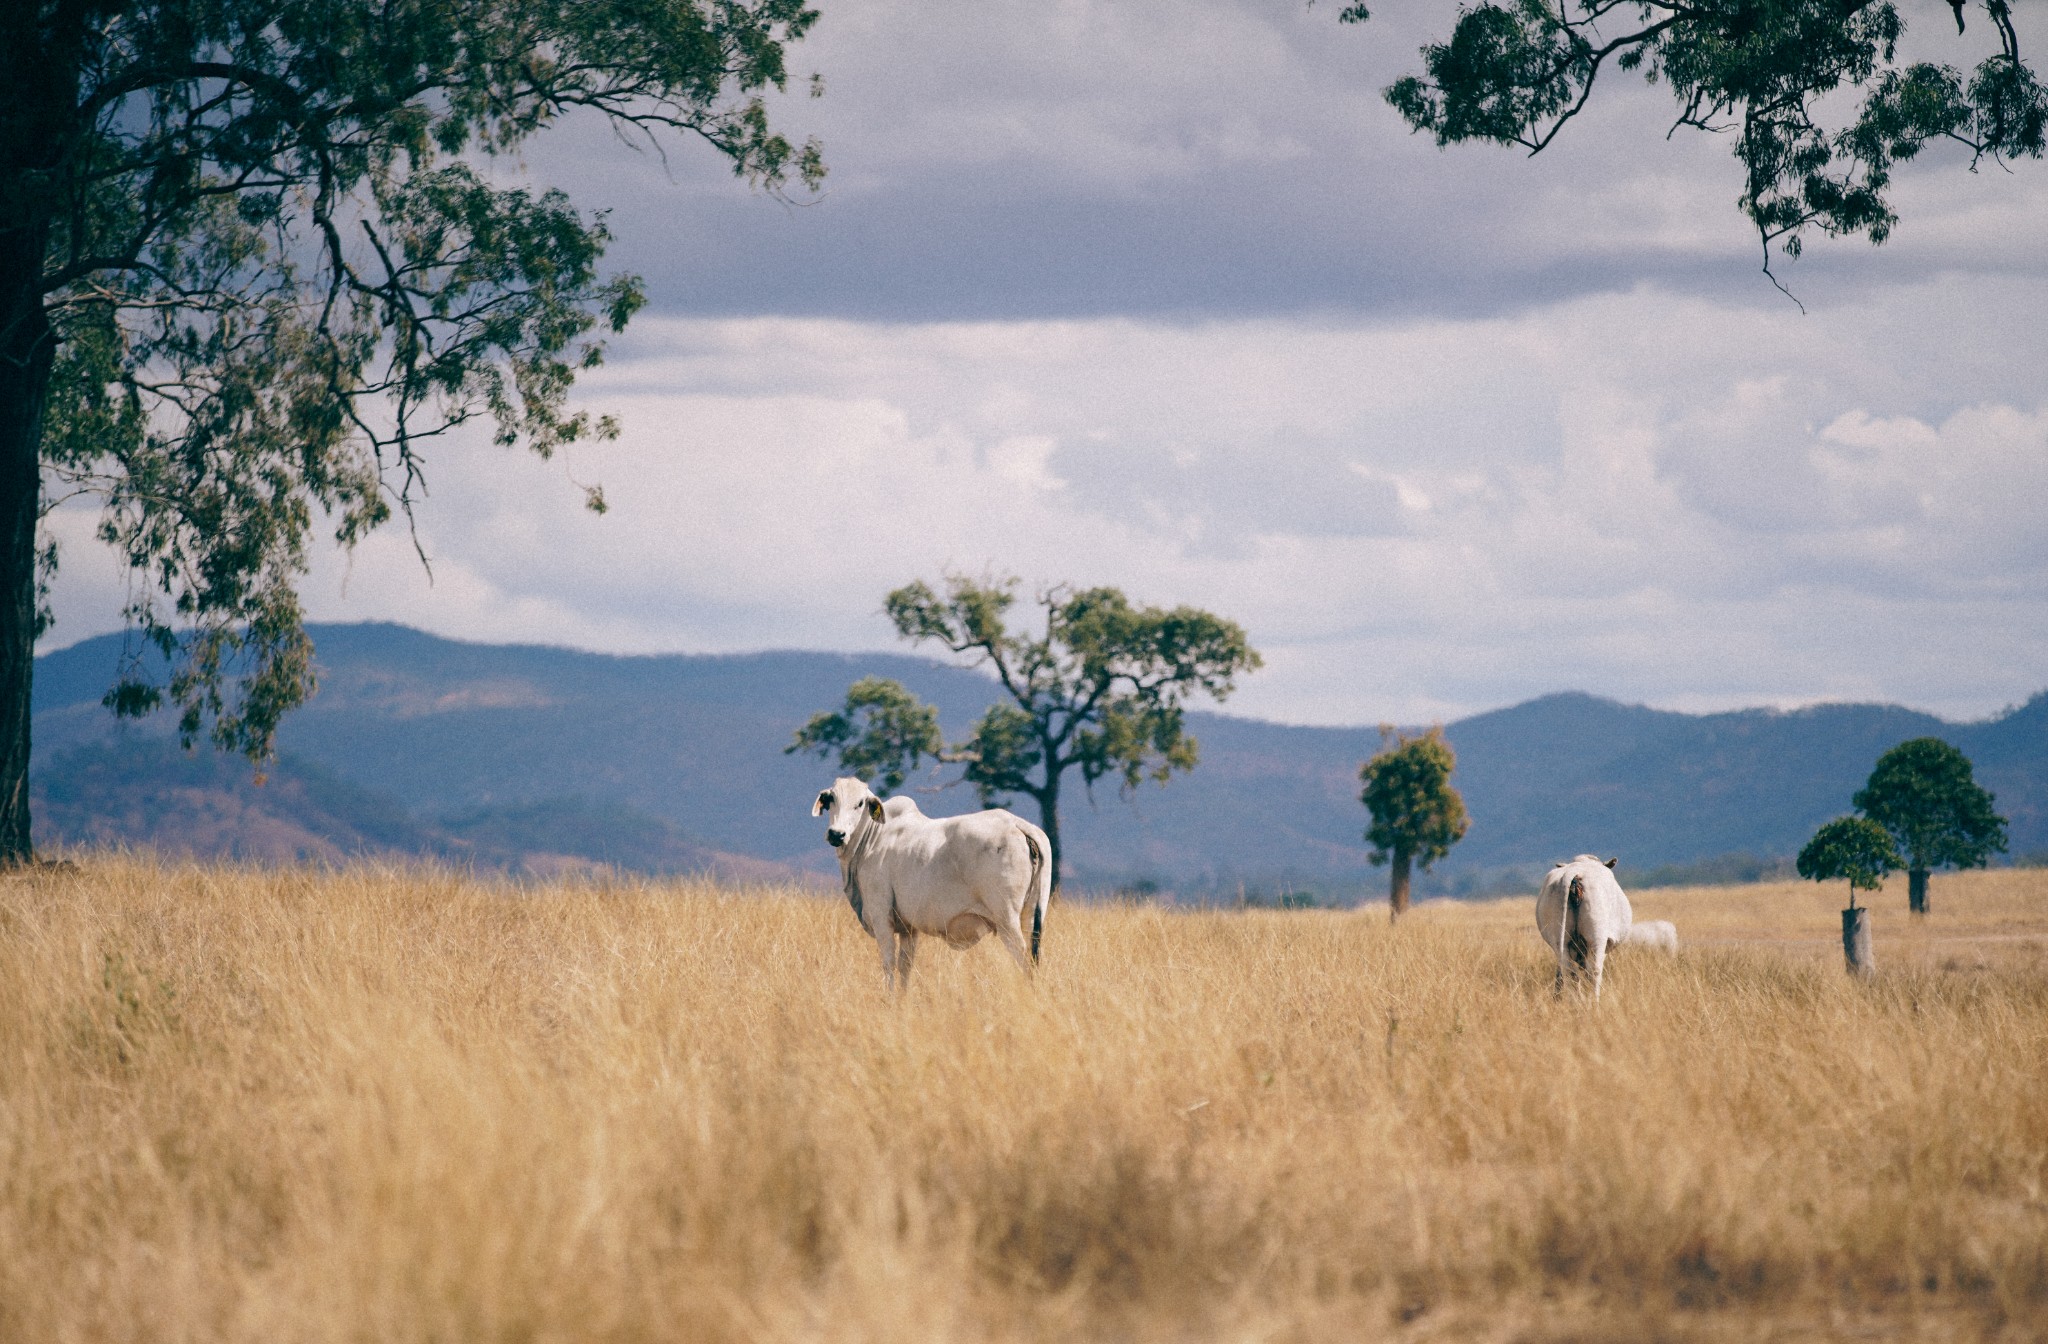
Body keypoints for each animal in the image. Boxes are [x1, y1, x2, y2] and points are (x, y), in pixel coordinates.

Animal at [806, 778, 1048, 987]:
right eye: (831, 799)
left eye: (860, 803)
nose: (836, 834)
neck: (873, 837)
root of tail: (1017, 825)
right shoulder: (908, 928)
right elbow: (905, 967)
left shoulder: (881, 915)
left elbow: (888, 964)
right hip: (1032, 915)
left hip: (1007, 920)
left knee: (1023, 959)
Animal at [1540, 856, 1630, 1003]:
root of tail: (1575, 873)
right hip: (1596, 937)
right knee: (1593, 971)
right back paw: (1594, 1001)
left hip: (1560, 941)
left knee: (1568, 971)